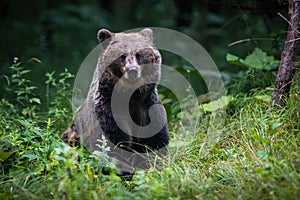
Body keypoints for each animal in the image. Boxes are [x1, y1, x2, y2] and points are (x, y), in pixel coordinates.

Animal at [61, 27, 169, 178]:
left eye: (139, 54)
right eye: (122, 56)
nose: (132, 70)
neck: (131, 97)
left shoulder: (147, 108)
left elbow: (155, 141)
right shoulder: (108, 112)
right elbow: (114, 145)